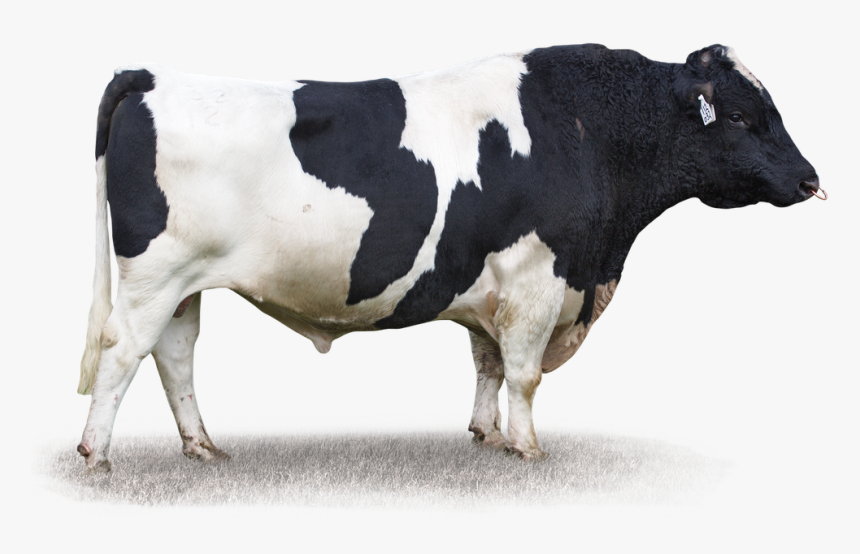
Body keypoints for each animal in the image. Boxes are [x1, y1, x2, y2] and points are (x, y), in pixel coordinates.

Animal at [77, 43, 822, 471]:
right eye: (739, 116)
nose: (811, 179)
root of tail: (152, 77)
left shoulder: (499, 288)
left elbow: (488, 365)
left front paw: (487, 437)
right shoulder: (538, 279)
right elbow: (524, 374)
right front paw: (528, 450)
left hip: (183, 286)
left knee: (175, 358)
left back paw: (203, 447)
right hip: (154, 278)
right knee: (121, 352)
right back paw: (96, 455)